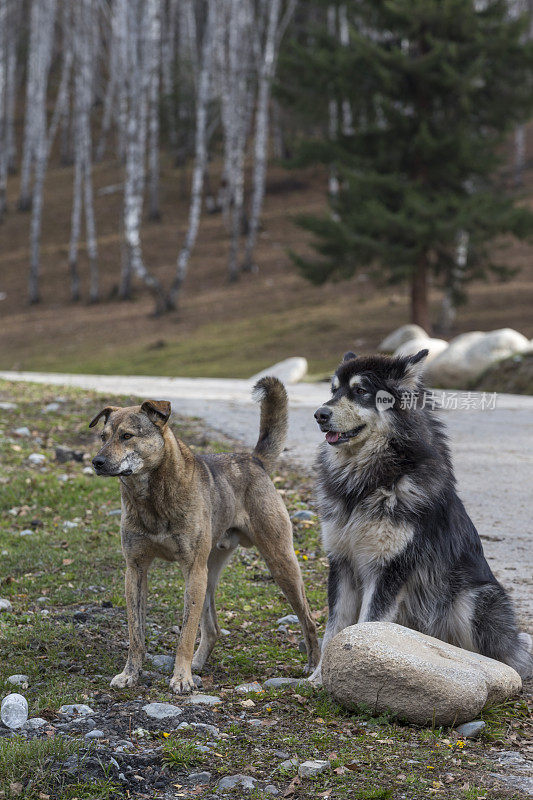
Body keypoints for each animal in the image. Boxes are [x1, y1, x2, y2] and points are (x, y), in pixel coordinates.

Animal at [89, 378, 318, 692]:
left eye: (127, 436)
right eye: (102, 436)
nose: (96, 462)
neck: (151, 498)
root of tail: (254, 460)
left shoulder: (192, 570)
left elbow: (185, 634)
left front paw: (181, 678)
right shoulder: (135, 570)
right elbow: (136, 634)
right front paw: (130, 673)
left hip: (279, 563)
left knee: (308, 618)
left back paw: (313, 665)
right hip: (209, 575)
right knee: (213, 629)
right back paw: (198, 663)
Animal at [310, 350, 528, 680]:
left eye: (360, 390)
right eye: (334, 390)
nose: (319, 414)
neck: (368, 482)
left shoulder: (390, 567)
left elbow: (367, 623)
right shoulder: (342, 562)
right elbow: (334, 628)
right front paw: (319, 678)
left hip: (473, 599)